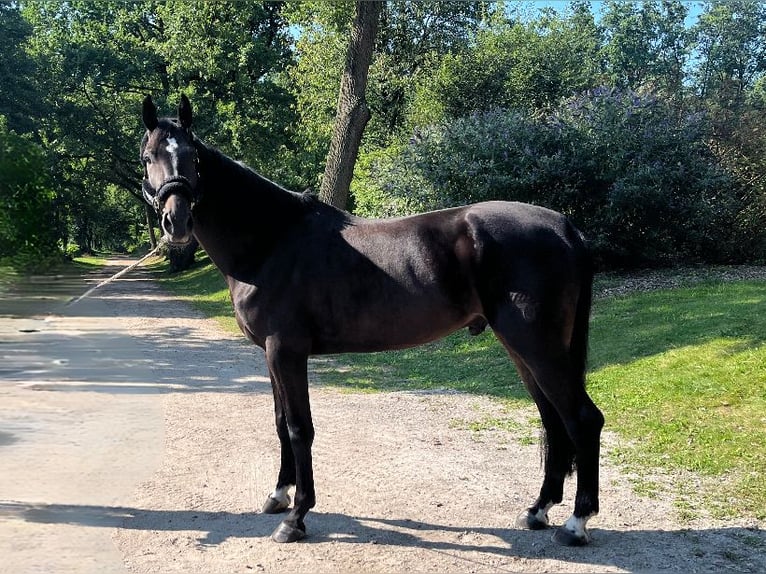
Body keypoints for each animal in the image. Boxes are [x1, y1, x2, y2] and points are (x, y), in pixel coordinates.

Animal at [140, 95, 608, 548]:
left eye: (192, 156)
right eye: (148, 157)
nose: (176, 222)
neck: (272, 241)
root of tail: (565, 227)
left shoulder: (286, 352)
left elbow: (299, 427)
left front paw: (296, 517)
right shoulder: (270, 355)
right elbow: (279, 424)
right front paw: (279, 495)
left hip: (537, 347)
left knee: (582, 419)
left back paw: (576, 523)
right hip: (523, 350)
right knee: (553, 420)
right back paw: (538, 510)